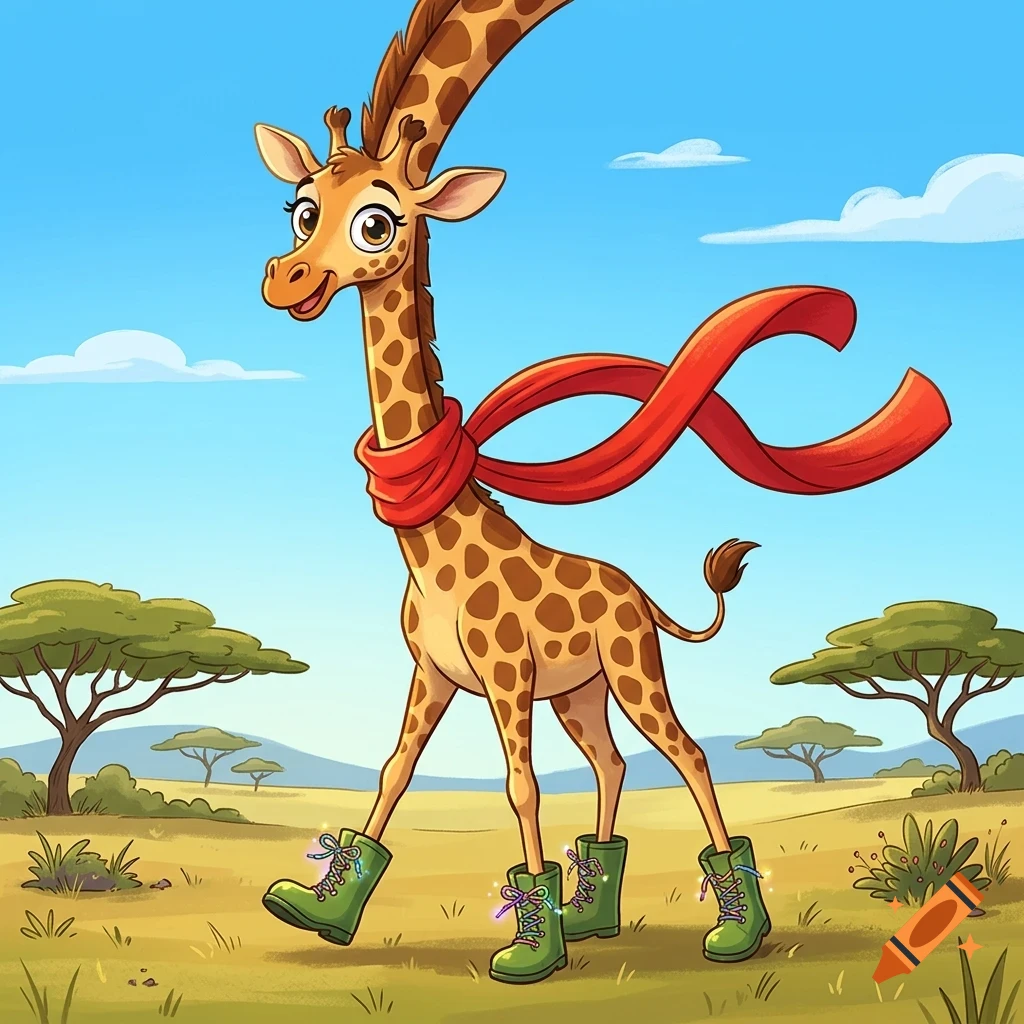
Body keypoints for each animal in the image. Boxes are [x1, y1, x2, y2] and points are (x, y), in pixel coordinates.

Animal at [252, 0, 950, 986]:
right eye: (301, 206)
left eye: (379, 224)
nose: (289, 282)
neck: (433, 542)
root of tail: (642, 595)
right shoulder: (432, 673)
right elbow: (392, 769)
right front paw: (320, 907)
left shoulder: (504, 680)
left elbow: (518, 787)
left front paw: (526, 949)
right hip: (581, 692)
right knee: (615, 765)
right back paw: (591, 913)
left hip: (629, 671)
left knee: (685, 753)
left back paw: (734, 928)